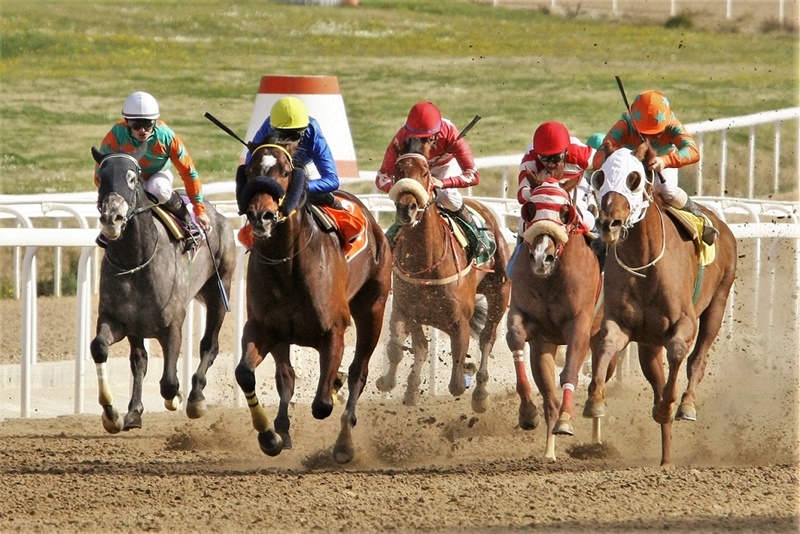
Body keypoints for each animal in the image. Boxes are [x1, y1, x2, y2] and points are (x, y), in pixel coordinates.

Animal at [90, 147, 236, 436]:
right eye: (101, 177)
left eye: (132, 178)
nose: (112, 218)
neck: (135, 260)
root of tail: (216, 212)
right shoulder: (116, 320)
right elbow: (99, 347)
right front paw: (111, 414)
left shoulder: (172, 325)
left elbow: (169, 382)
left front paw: (177, 397)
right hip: (138, 327)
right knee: (139, 359)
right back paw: (134, 411)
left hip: (218, 291)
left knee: (209, 346)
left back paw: (195, 398)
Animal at [233, 141, 392, 464]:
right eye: (251, 170)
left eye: (285, 172)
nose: (261, 216)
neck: (287, 263)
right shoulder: (263, 328)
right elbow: (246, 374)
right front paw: (269, 437)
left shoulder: (334, 332)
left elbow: (321, 405)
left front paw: (333, 388)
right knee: (286, 376)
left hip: (373, 309)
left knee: (358, 373)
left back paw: (344, 443)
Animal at [374, 139, 510, 414]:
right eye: (397, 172)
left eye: (426, 172)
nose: (407, 207)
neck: (426, 263)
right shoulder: (405, 310)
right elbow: (398, 348)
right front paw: (393, 383)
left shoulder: (460, 322)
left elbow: (456, 382)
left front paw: (467, 374)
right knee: (421, 347)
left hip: (499, 292)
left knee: (487, 339)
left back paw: (480, 393)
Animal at [504, 179, 608, 460]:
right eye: (530, 210)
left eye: (565, 212)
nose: (542, 257)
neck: (550, 279)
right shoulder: (529, 323)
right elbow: (515, 337)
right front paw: (527, 413)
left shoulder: (579, 325)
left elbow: (570, 371)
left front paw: (566, 421)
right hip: (545, 346)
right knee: (550, 396)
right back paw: (549, 451)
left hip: (602, 335)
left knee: (599, 378)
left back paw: (595, 431)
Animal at [588, 148, 736, 468]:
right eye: (600, 177)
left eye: (634, 179)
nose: (608, 223)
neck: (645, 260)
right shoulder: (621, 323)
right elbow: (605, 345)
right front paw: (595, 401)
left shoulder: (685, 322)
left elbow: (680, 353)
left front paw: (672, 404)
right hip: (649, 343)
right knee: (656, 377)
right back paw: (666, 458)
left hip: (718, 303)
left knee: (698, 359)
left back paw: (686, 405)